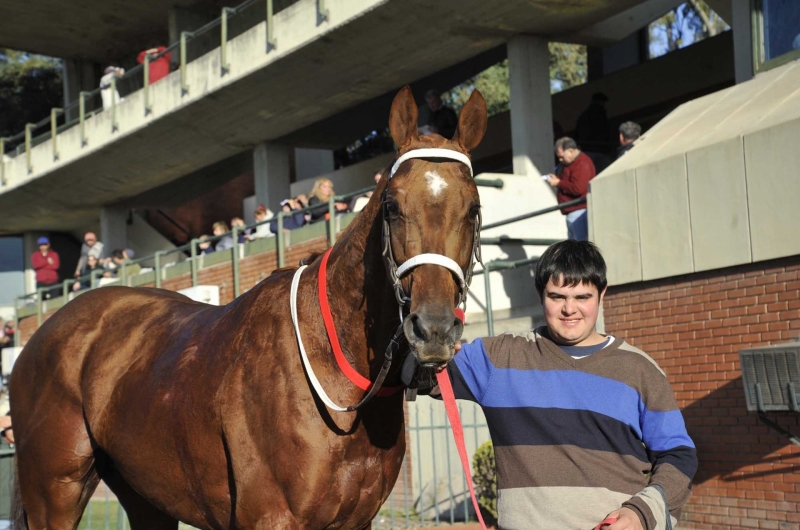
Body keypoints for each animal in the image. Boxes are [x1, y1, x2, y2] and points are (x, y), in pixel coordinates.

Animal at [9, 87, 488, 528]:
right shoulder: (270, 515)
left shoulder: (358, 520)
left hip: (144, 493)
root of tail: (36, 339)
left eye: (473, 208)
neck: (334, 373)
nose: (434, 329)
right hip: (54, 490)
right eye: (392, 205)